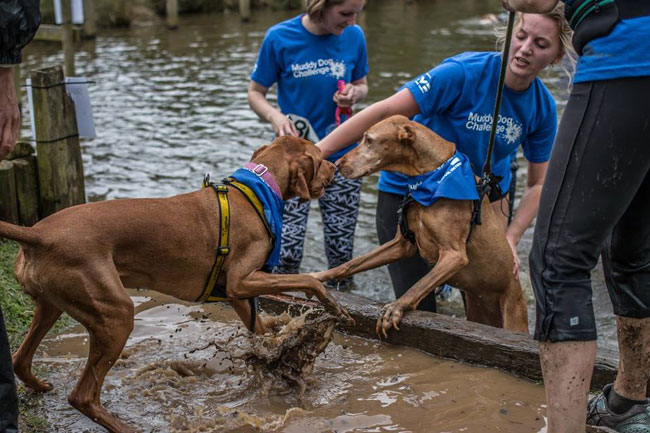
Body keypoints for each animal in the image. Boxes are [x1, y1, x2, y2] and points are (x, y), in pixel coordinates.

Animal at [0, 137, 350, 432]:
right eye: (320, 157)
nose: (337, 167)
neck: (259, 188)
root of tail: (38, 234)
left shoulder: (238, 295)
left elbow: (260, 330)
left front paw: (275, 351)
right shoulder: (242, 280)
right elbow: (307, 278)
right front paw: (330, 304)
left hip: (52, 306)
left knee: (20, 360)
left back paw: (39, 385)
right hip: (116, 315)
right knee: (82, 395)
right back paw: (124, 427)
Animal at [312, 116, 528, 336]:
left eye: (369, 140)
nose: (337, 164)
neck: (432, 177)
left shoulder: (454, 255)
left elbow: (419, 285)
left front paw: (395, 308)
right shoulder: (401, 245)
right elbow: (351, 264)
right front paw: (317, 276)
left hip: (514, 317)